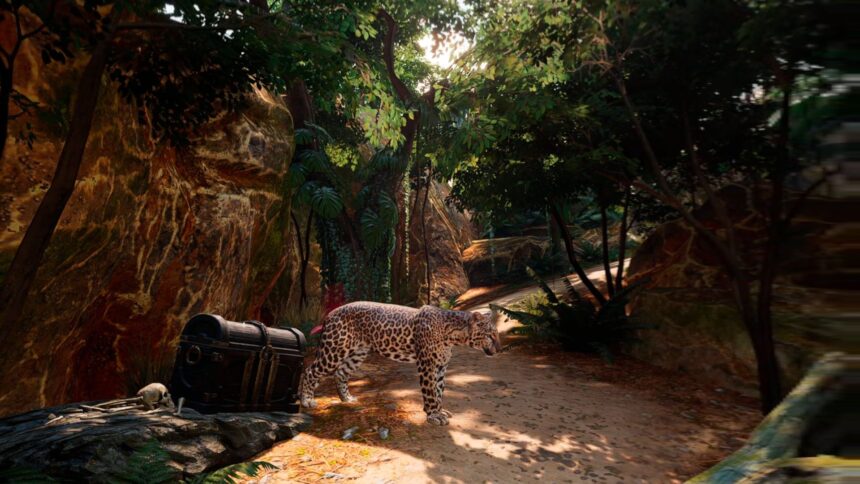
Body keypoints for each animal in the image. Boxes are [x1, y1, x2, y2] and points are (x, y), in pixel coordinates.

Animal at [302, 300, 504, 426]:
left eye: (496, 334)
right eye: (489, 335)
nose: (500, 350)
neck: (453, 335)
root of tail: (329, 314)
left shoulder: (441, 366)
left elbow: (439, 391)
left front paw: (440, 411)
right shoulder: (427, 365)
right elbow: (430, 393)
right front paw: (433, 416)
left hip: (357, 353)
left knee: (341, 373)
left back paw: (347, 399)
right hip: (333, 351)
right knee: (309, 371)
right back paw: (307, 401)